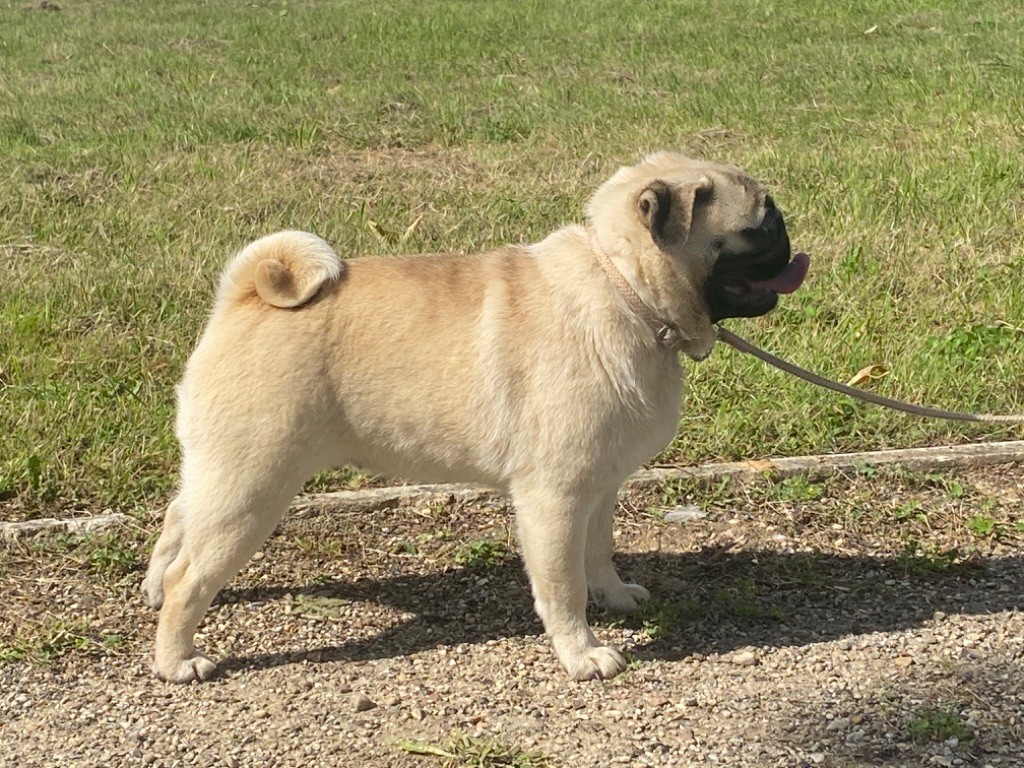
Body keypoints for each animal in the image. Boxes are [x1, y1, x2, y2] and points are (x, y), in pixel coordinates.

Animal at [142, 153, 806, 684]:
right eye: (762, 224)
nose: (792, 238)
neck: (626, 288)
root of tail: (243, 297)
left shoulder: (599, 488)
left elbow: (598, 553)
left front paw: (614, 595)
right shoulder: (555, 499)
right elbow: (562, 585)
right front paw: (581, 653)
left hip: (222, 474)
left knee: (178, 517)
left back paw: (152, 585)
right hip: (253, 485)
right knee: (190, 576)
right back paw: (177, 658)